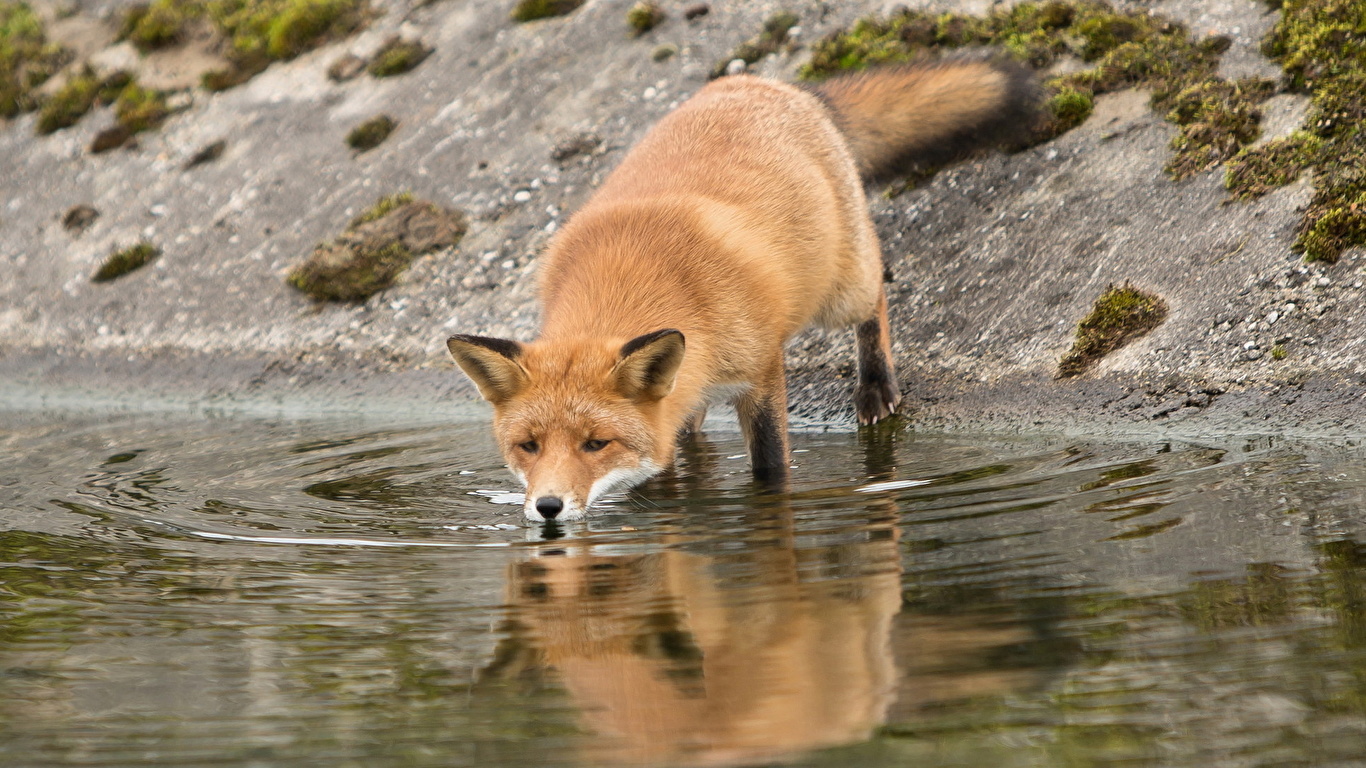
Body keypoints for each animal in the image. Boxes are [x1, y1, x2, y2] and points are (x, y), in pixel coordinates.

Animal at [445, 53, 1032, 519]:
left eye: (595, 443)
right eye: (528, 446)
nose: (547, 508)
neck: (628, 278)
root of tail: (769, 83)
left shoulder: (762, 368)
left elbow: (771, 463)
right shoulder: (671, 404)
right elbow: (663, 466)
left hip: (842, 291)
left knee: (877, 299)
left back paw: (875, 386)